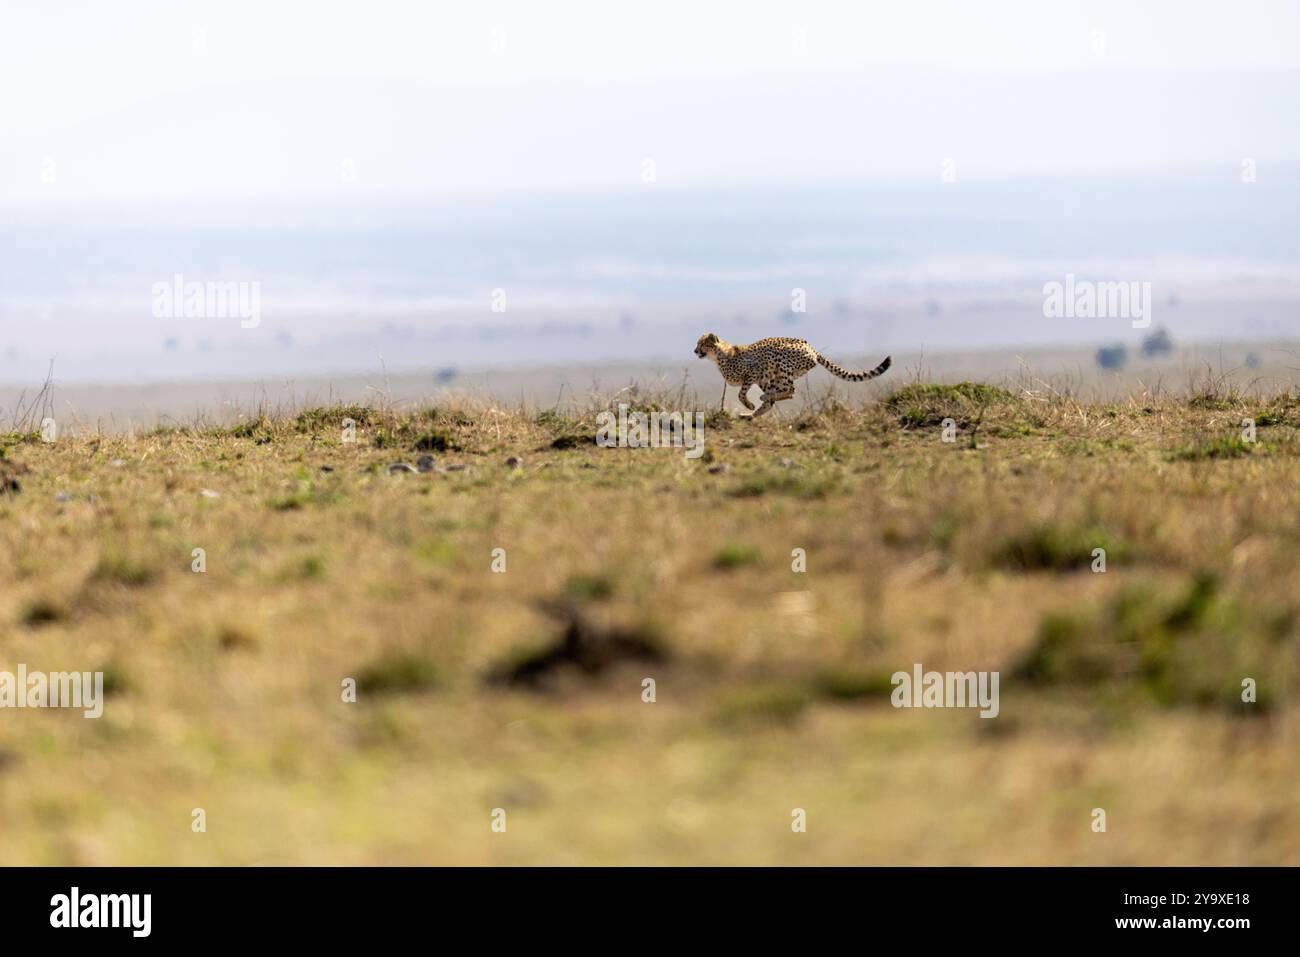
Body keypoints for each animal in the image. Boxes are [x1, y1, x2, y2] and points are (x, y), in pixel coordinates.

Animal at [691, 335, 894, 416]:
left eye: (702, 343)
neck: (720, 355)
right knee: (786, 392)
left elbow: (741, 393)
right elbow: (764, 399)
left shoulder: (754, 370)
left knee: (791, 389)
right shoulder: (761, 377)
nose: (695, 351)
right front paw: (753, 410)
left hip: (778, 361)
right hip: (774, 374)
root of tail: (811, 348)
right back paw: (753, 413)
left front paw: (749, 405)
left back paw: (759, 403)